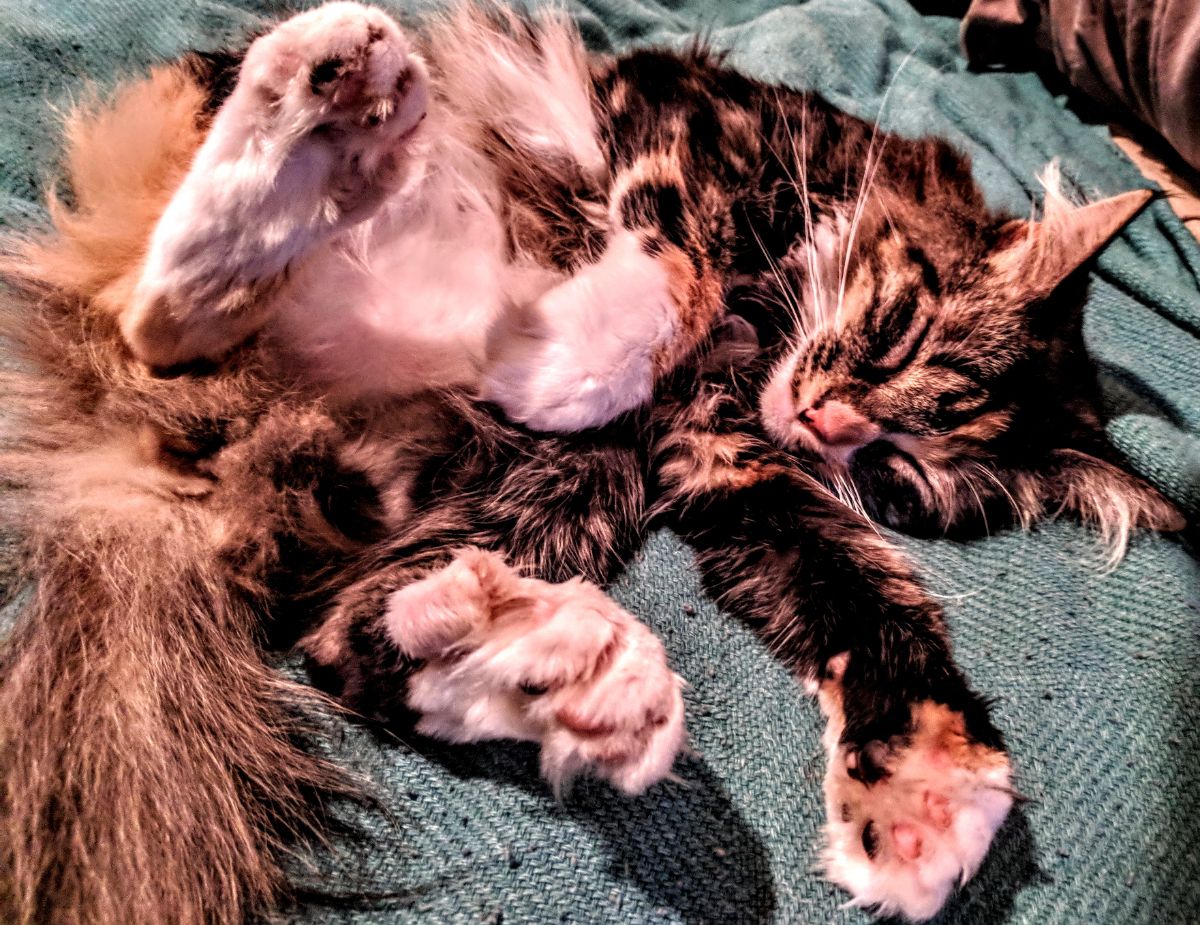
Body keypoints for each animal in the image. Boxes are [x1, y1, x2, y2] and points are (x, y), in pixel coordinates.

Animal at [0, 1, 1180, 925]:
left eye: (896, 473)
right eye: (895, 332)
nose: (825, 420)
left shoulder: (733, 466)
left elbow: (872, 600)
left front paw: (928, 795)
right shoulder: (697, 126)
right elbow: (681, 257)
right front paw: (574, 354)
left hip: (550, 485)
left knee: (350, 633)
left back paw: (569, 666)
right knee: (163, 306)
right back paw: (336, 101)